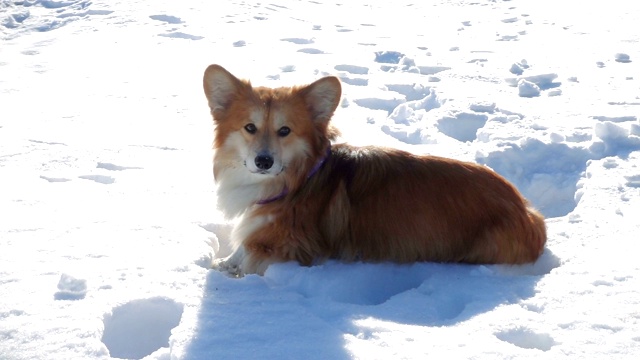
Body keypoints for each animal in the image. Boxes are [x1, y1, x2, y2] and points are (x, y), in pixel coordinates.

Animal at [204, 64, 544, 278]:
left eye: (285, 130)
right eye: (250, 127)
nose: (263, 161)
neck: (298, 178)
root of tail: (526, 210)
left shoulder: (286, 246)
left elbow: (248, 255)